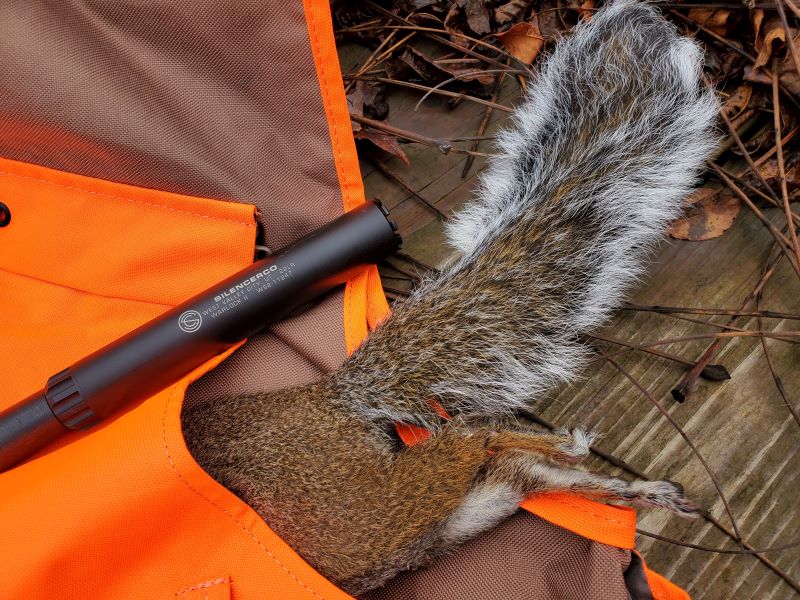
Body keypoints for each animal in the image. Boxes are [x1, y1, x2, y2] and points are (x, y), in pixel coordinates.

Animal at [182, 1, 719, 595]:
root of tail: (332, 399)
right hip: (418, 524)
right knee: (507, 472)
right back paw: (622, 487)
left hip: (350, 518)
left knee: (476, 438)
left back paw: (568, 453)